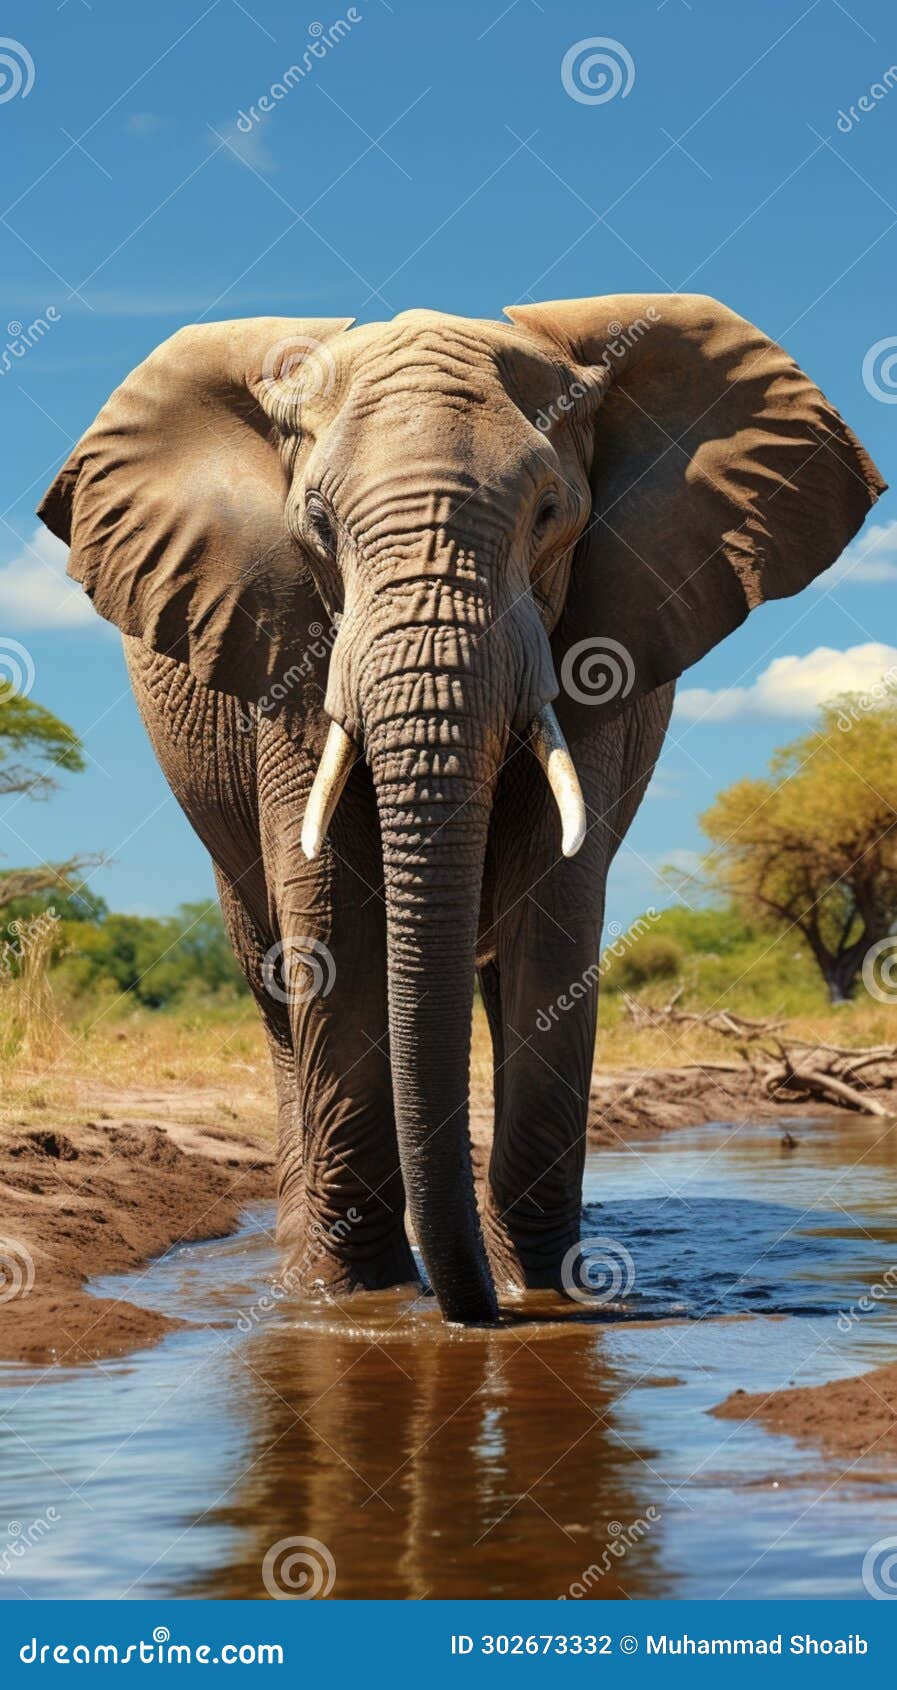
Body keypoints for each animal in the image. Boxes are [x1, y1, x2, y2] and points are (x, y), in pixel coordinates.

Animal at [38, 290, 885, 1324]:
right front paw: (354, 1302)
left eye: (551, 514)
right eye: (315, 527)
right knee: (269, 974)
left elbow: (554, 917)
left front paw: (552, 1296)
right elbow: (330, 916)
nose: (475, 1315)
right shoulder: (279, 639)